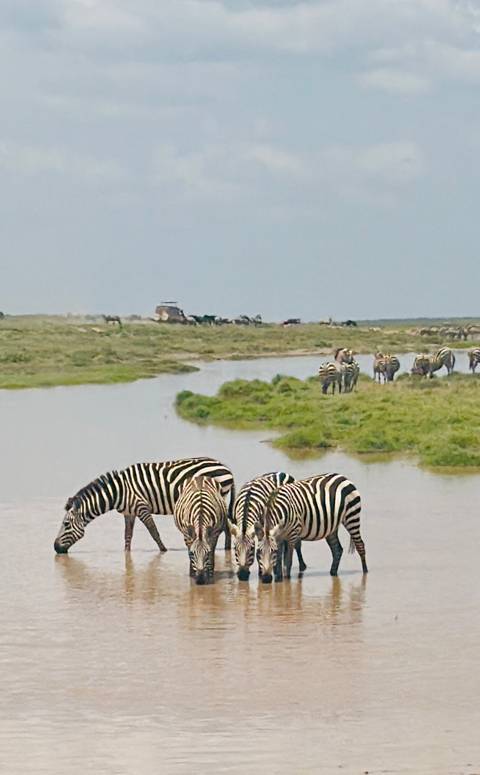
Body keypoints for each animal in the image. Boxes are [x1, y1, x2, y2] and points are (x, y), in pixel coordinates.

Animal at [54, 457, 235, 554]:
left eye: (66, 524)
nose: (55, 548)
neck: (119, 492)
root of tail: (226, 468)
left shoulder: (142, 507)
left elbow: (154, 532)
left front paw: (163, 551)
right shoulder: (129, 512)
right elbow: (127, 535)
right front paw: (126, 554)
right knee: (226, 526)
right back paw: (226, 549)